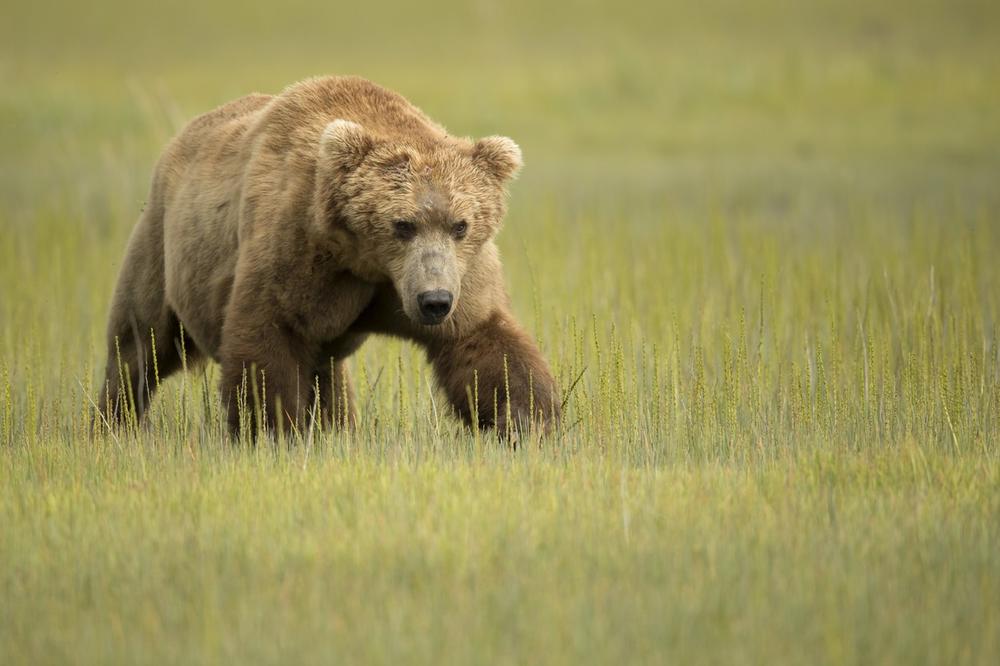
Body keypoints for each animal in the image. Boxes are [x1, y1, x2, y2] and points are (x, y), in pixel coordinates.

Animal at [98, 75, 564, 436]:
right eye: (402, 224)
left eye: (460, 224)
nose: (434, 301)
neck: (368, 261)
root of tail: (179, 141)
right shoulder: (298, 248)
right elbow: (268, 339)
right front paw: (272, 431)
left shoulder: (453, 274)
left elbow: (485, 341)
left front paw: (527, 422)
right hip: (164, 244)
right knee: (140, 341)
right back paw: (112, 424)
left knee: (328, 376)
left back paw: (336, 426)